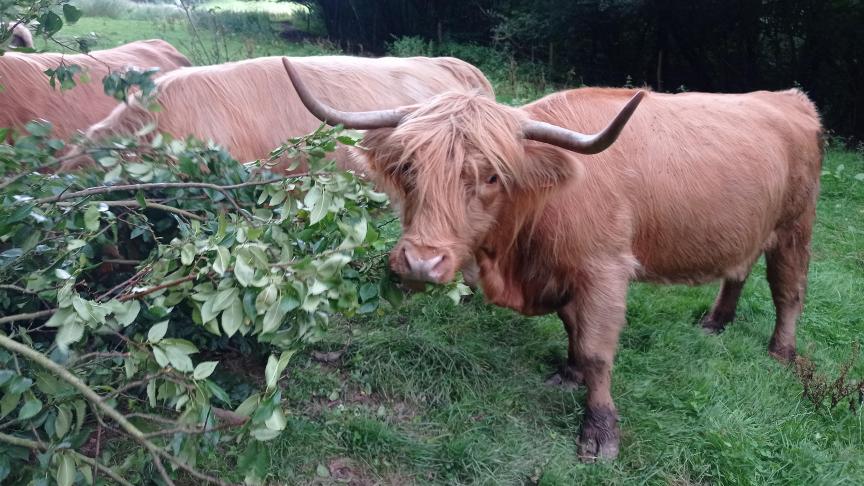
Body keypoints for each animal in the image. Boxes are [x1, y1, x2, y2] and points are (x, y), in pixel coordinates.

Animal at [284, 58, 824, 462]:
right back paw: (716, 321)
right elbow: (572, 328)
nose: (420, 263)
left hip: (795, 227)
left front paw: (599, 432)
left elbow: (597, 349)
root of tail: (788, 97)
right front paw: (568, 373)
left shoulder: (605, 270)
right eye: (410, 168)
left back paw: (781, 352)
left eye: (491, 177)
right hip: (749, 227)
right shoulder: (565, 272)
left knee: (789, 288)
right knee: (739, 269)